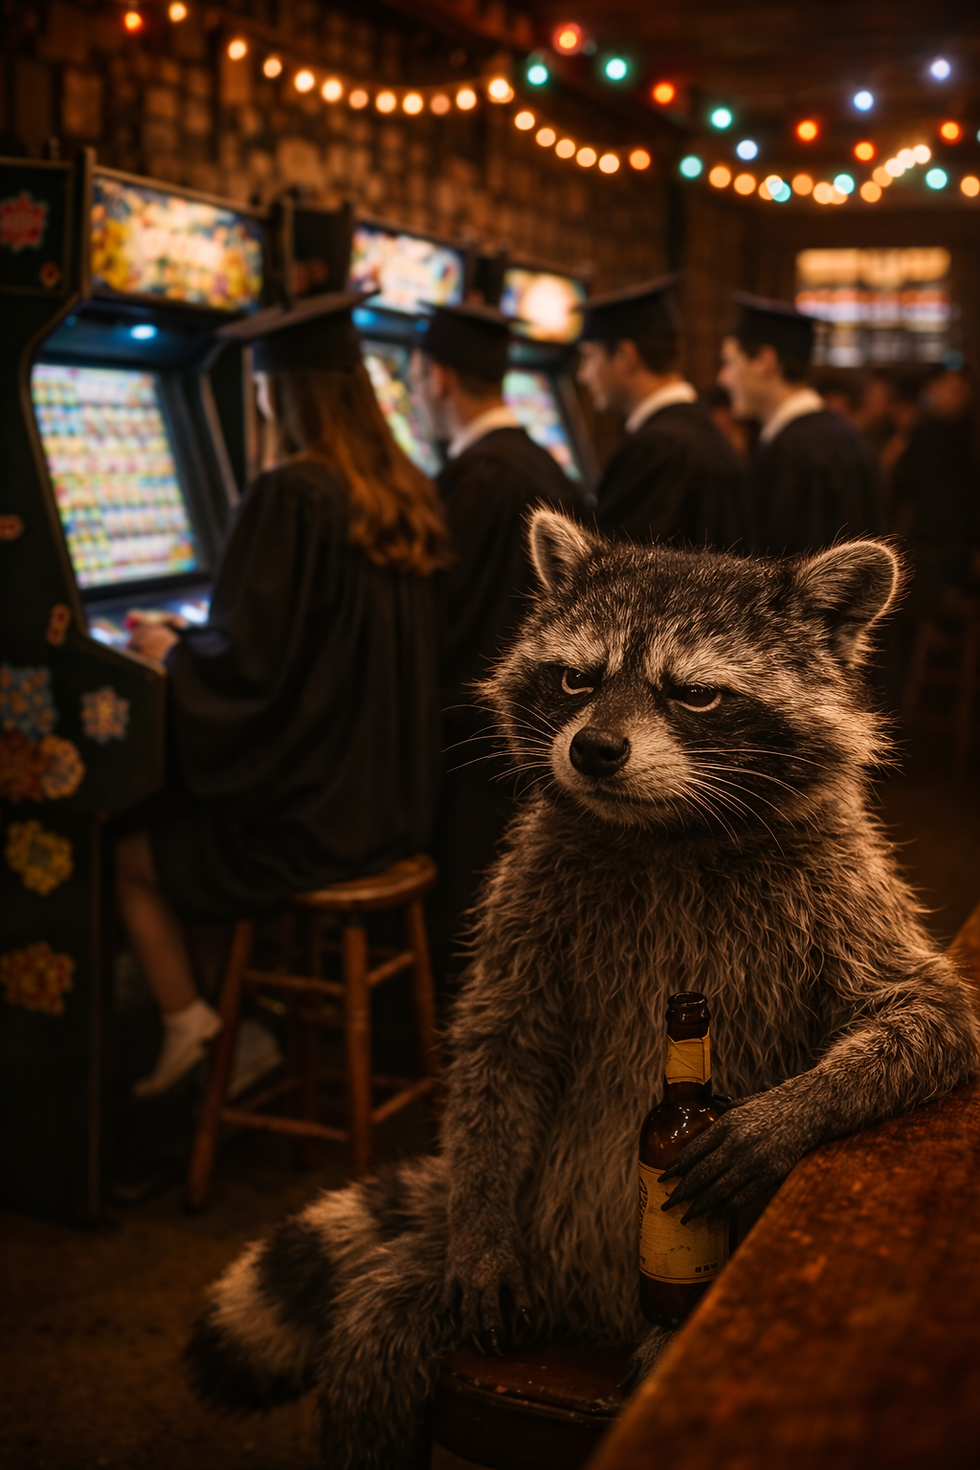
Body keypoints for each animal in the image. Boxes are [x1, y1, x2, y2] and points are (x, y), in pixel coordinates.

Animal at [186, 510, 979, 1469]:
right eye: (577, 679)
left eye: (695, 695)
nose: (594, 749)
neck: (665, 831)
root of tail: (589, 1325)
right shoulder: (529, 889)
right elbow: (499, 1046)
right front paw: (482, 1228)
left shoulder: (838, 881)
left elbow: (928, 1013)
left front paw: (789, 1111)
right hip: (494, 1265)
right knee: (374, 1337)